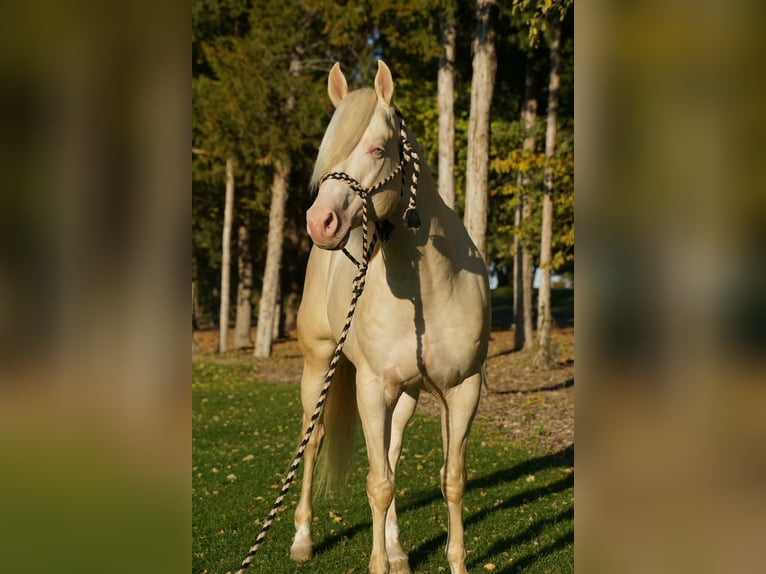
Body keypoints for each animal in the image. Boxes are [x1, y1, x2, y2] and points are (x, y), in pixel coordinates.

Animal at [291, 60, 490, 574]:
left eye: (379, 148)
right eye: (326, 152)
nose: (319, 222)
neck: (432, 288)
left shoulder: (462, 390)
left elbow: (451, 478)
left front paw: (452, 561)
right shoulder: (371, 388)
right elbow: (377, 484)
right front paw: (376, 562)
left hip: (406, 395)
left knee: (393, 452)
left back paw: (399, 550)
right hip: (319, 369)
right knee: (314, 442)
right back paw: (302, 538)